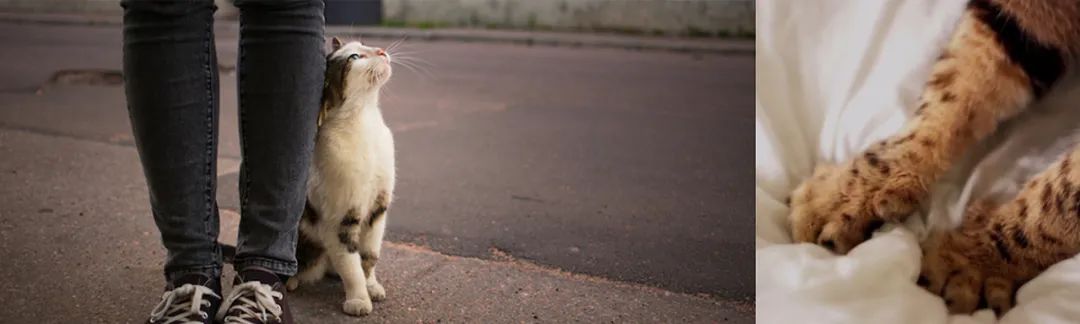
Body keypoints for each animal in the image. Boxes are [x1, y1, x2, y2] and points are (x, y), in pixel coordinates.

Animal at [289, 36, 399, 315]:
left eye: (363, 45)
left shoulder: (378, 209)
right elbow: (350, 265)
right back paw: (291, 280)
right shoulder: (339, 219)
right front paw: (358, 299)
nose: (381, 50)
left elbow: (370, 255)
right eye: (354, 58)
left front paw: (371, 286)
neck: (365, 122)